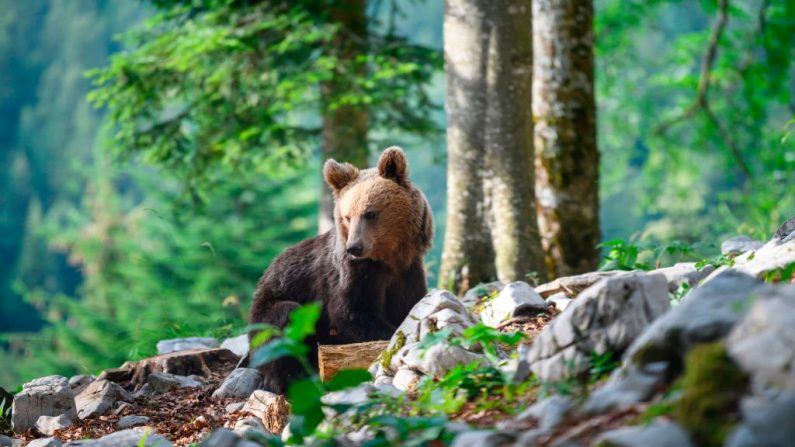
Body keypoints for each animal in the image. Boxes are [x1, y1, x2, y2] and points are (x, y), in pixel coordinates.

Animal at [250, 146, 432, 392]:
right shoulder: (353, 273)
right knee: (284, 321)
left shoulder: (407, 271)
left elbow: (409, 304)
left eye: (370, 213)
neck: (388, 257)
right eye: (347, 216)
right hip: (267, 312)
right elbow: (351, 311)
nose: (354, 247)